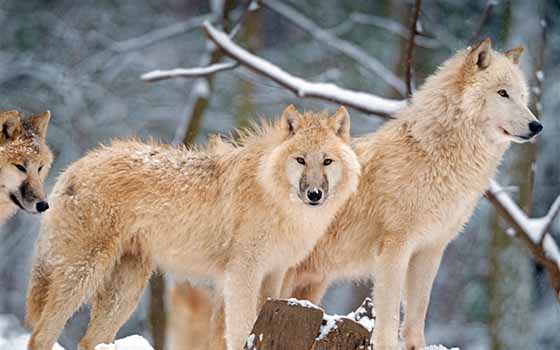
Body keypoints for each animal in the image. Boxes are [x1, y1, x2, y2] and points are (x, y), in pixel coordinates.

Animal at [26, 104, 360, 350]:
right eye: (301, 160)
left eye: (327, 161)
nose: (314, 194)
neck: (274, 196)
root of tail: (73, 167)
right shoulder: (242, 273)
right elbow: (240, 329)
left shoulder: (274, 274)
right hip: (83, 274)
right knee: (41, 335)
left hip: (126, 289)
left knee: (90, 341)